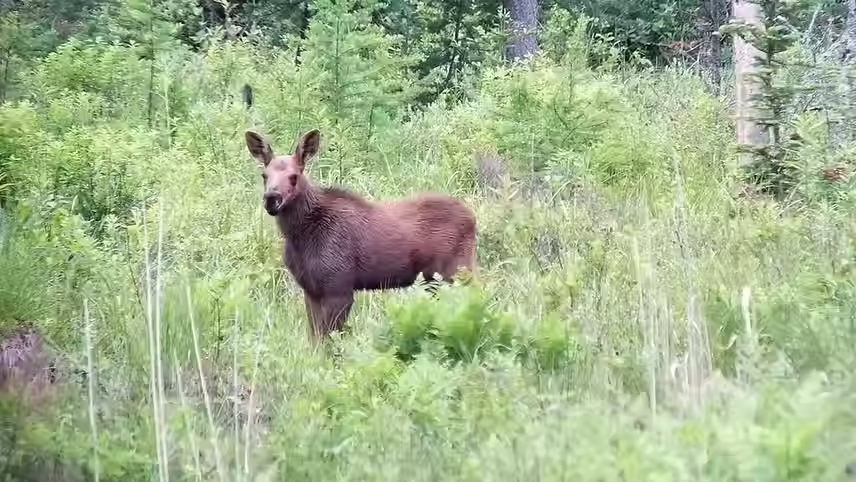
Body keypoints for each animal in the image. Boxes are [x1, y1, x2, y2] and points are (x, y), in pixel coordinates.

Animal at [245, 128, 478, 342]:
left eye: (294, 176)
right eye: (264, 175)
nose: (272, 198)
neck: (300, 235)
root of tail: (473, 219)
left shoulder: (339, 288)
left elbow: (329, 341)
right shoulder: (310, 289)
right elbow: (315, 339)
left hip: (458, 268)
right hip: (434, 278)